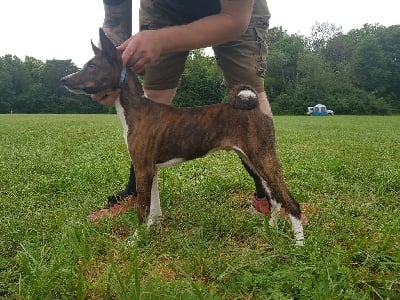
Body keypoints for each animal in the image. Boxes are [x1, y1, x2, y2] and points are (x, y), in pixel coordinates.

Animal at [61, 28, 306, 245]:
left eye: (92, 65)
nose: (64, 79)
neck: (136, 109)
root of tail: (255, 108)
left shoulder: (143, 168)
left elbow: (142, 209)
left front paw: (135, 240)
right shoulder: (150, 169)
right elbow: (153, 209)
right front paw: (151, 230)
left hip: (263, 158)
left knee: (291, 203)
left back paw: (298, 246)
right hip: (253, 161)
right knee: (275, 202)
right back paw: (271, 231)